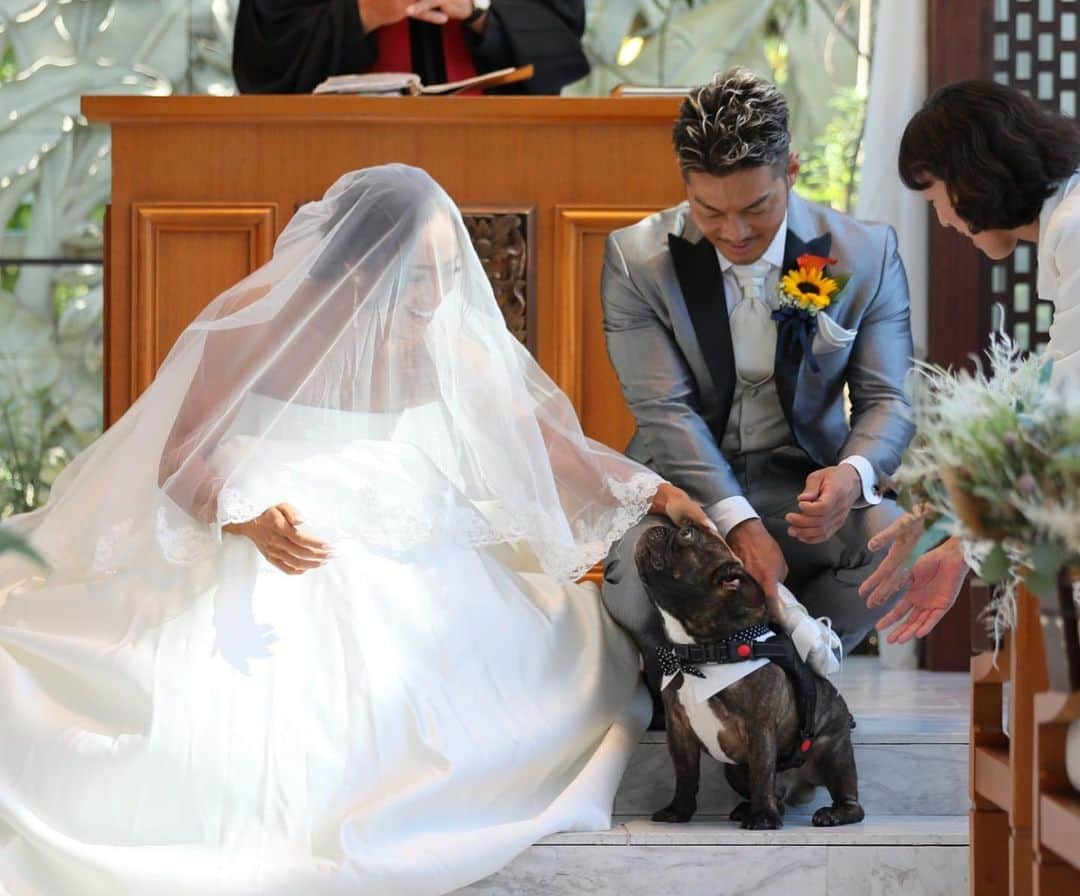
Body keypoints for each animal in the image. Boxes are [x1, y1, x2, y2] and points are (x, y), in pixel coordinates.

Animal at [635, 522, 864, 833]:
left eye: (687, 535)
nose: (657, 527)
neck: (703, 652)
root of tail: (799, 785)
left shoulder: (760, 728)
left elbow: (762, 771)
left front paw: (763, 818)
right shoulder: (679, 731)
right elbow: (685, 774)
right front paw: (678, 810)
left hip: (834, 751)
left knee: (847, 797)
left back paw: (833, 813)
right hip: (733, 770)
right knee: (773, 793)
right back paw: (753, 807)